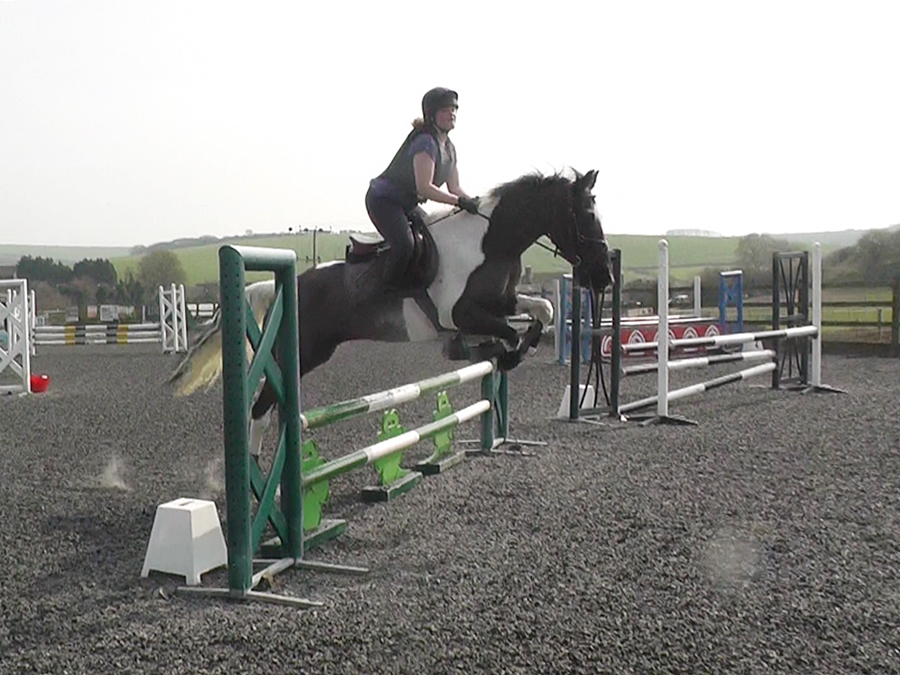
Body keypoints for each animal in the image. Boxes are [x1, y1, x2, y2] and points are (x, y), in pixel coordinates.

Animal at [170, 168, 611, 453]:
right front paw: (499, 354)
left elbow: (544, 309)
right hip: (298, 353)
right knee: (261, 410)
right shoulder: (460, 313)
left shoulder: (499, 302)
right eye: (587, 214)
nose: (604, 276)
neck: (490, 241)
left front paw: (506, 352)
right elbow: (509, 331)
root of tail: (285, 284)